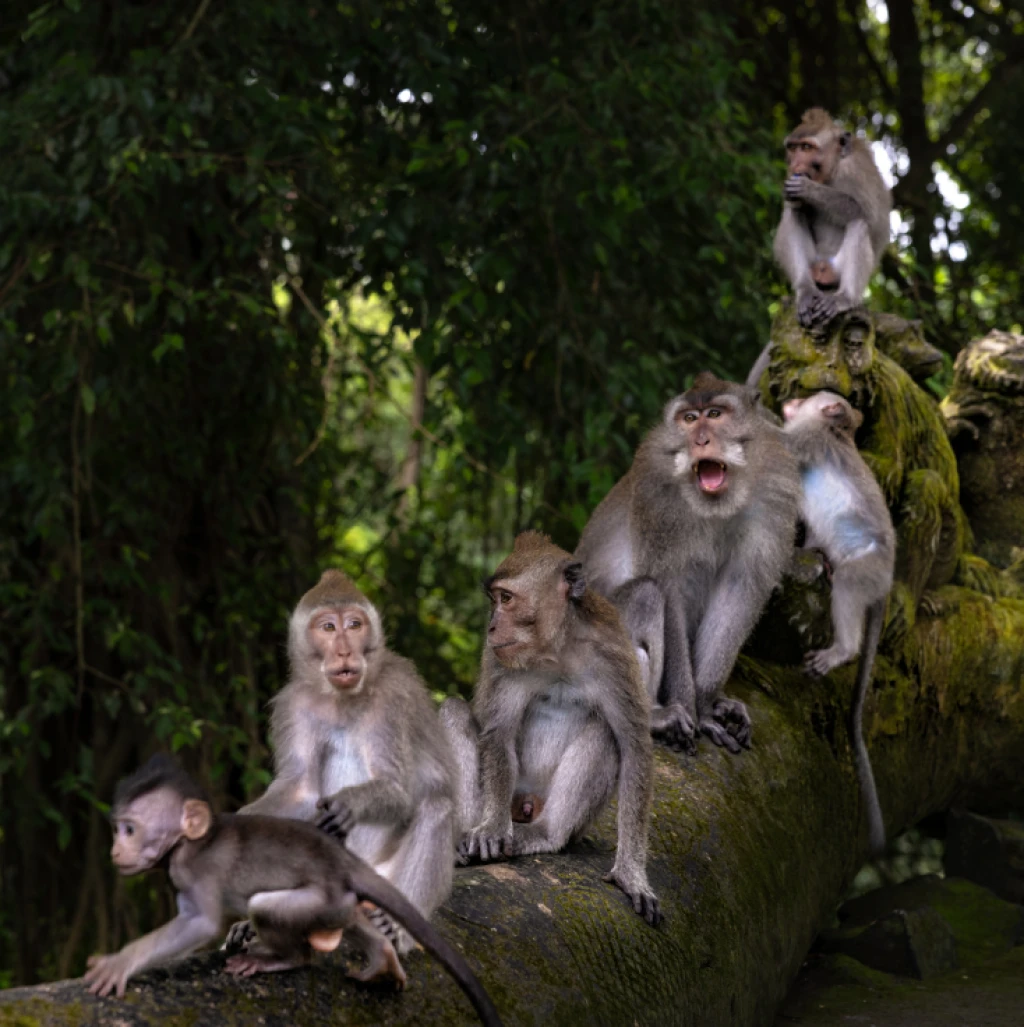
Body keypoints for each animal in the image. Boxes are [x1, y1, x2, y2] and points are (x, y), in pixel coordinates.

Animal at [82, 756, 502, 1026]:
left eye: (130, 829)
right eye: (118, 830)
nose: (115, 850)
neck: (190, 841)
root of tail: (342, 862)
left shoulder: (194, 870)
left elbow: (200, 924)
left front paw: (119, 962)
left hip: (318, 898)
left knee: (266, 908)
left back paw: (282, 958)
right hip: (336, 899)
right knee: (349, 913)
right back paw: (382, 956)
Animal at [238, 570, 457, 957]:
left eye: (354, 625)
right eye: (328, 627)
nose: (344, 650)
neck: (341, 698)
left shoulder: (392, 698)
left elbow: (397, 790)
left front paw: (347, 805)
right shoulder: (295, 704)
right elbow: (300, 791)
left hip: (385, 877)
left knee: (436, 805)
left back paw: (397, 928)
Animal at [439, 531, 660, 926]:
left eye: (506, 599)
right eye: (494, 600)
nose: (491, 626)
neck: (558, 651)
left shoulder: (615, 656)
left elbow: (634, 745)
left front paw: (631, 874)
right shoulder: (500, 658)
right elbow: (498, 732)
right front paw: (491, 828)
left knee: (606, 735)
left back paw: (545, 834)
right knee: (453, 711)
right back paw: (465, 842)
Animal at [576, 373, 802, 754]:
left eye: (715, 413)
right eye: (689, 419)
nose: (700, 439)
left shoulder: (774, 491)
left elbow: (740, 589)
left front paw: (709, 705)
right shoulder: (657, 499)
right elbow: (668, 592)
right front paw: (694, 709)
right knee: (645, 595)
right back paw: (654, 718)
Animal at [773, 107, 891, 329]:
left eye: (806, 147)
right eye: (793, 148)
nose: (795, 165)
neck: (833, 169)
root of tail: (823, 268)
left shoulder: (855, 170)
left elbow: (869, 216)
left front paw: (808, 189)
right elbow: (794, 208)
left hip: (838, 270)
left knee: (859, 222)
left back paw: (845, 298)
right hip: (813, 264)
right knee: (794, 214)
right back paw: (805, 289)